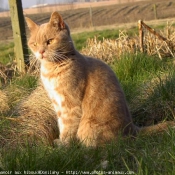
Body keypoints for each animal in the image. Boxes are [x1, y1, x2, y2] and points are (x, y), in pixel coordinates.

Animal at [25, 11, 174, 146]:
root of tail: (132, 128)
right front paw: (60, 142)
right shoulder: (57, 104)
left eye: (49, 41)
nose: (41, 52)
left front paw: (64, 147)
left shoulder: (69, 105)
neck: (51, 69)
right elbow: (61, 125)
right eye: (34, 44)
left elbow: (68, 128)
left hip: (90, 128)